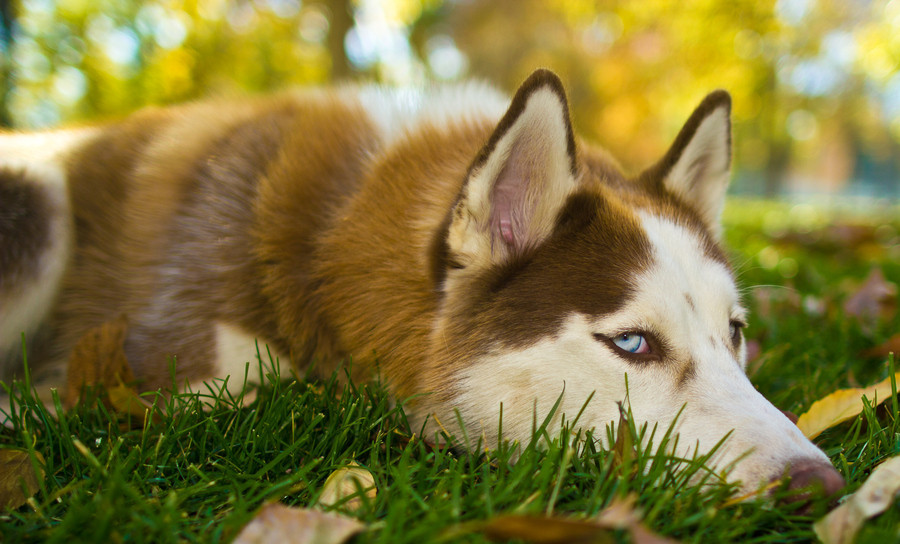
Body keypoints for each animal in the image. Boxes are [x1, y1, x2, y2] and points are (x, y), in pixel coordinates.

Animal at [0, 69, 844, 498]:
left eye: (734, 332)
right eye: (633, 343)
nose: (819, 486)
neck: (332, 228)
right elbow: (243, 373)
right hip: (34, 208)